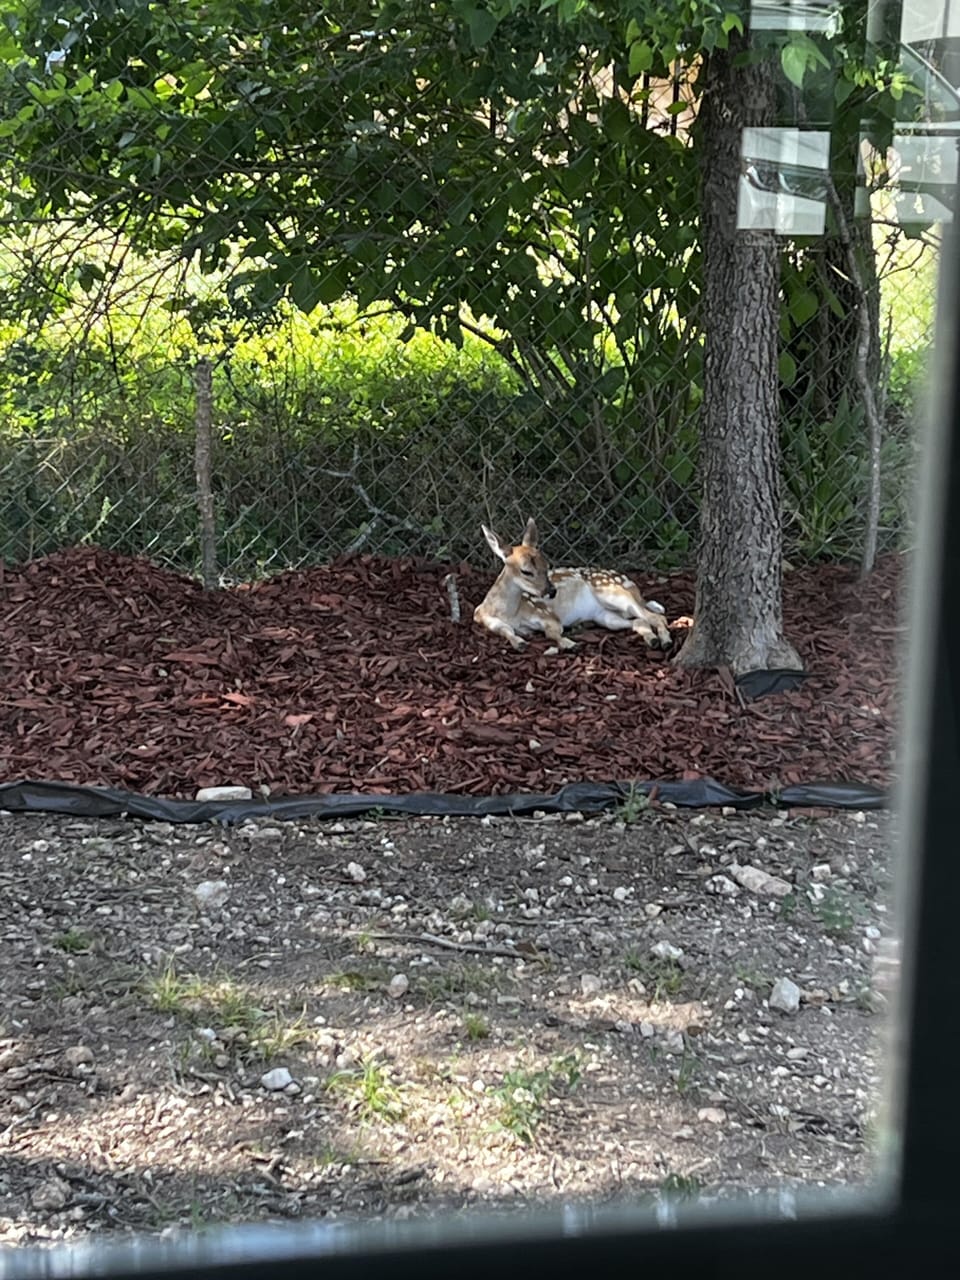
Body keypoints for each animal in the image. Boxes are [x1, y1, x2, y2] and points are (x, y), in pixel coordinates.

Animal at [473, 517, 672, 653]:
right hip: (605, 616)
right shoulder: (485, 619)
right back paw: (653, 640)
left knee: (656, 617)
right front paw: (520, 643)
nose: (552, 591)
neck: (508, 613)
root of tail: (634, 588)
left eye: (547, 566)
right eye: (526, 571)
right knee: (640, 620)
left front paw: (570, 644)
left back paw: (665, 641)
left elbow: (553, 632)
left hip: (614, 593)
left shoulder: (546, 614)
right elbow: (506, 631)